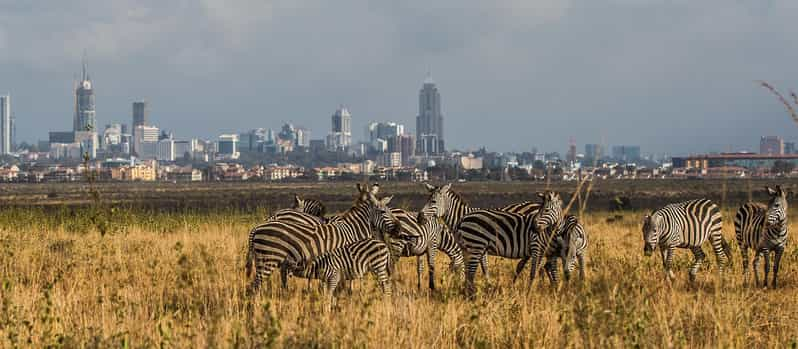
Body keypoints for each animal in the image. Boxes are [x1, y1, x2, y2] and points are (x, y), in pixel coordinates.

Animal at [247, 184, 404, 292]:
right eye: (383, 212)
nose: (399, 229)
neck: (351, 229)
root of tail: (257, 228)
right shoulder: (344, 258)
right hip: (269, 259)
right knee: (256, 286)